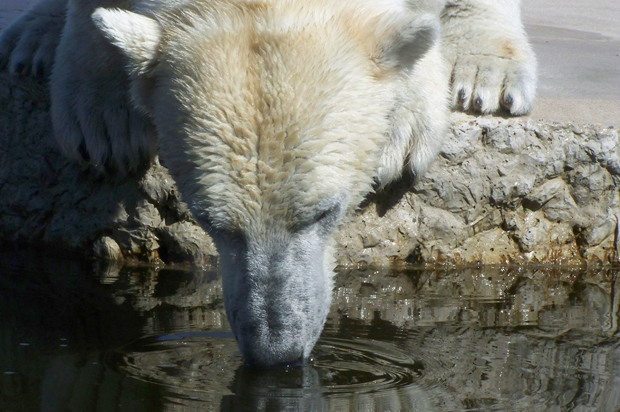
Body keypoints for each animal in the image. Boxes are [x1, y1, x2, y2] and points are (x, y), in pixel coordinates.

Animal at [0, 0, 536, 366]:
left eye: (326, 212)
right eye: (209, 221)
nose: (276, 351)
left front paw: (408, 114)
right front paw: (101, 112)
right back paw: (34, 39)